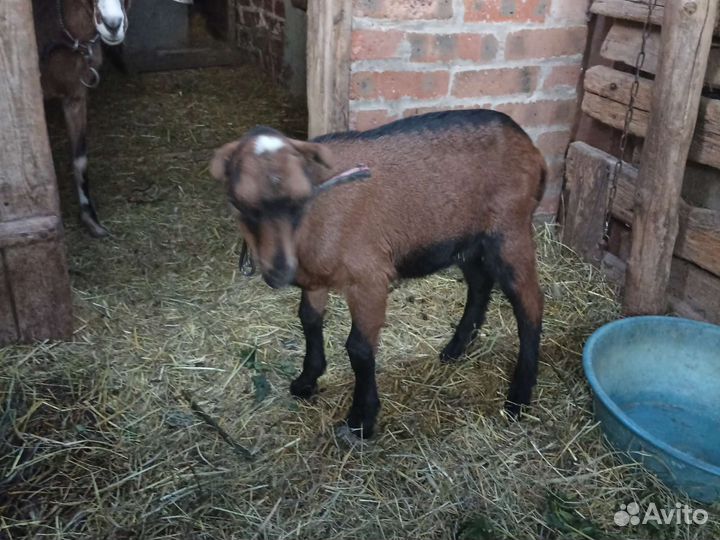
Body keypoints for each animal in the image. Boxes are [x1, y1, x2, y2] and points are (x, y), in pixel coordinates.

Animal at [211, 110, 546, 439]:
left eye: (301, 199)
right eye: (239, 204)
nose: (279, 271)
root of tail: (529, 145)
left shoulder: (369, 277)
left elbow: (358, 348)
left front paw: (361, 420)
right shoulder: (315, 279)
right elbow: (308, 319)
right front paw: (306, 380)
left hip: (509, 230)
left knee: (530, 302)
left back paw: (518, 397)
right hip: (466, 238)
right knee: (480, 283)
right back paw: (455, 350)